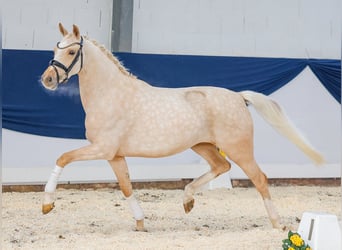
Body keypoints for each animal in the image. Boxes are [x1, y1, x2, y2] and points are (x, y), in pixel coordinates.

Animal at [40, 23, 324, 230]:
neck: (110, 94)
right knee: (222, 167)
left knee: (259, 178)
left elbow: (63, 157)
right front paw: (141, 223)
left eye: (71, 52)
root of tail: (238, 97)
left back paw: (277, 224)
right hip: (203, 145)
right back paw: (188, 200)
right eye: (55, 50)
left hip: (238, 148)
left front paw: (47, 204)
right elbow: (126, 187)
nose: (48, 79)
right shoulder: (115, 155)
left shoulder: (102, 148)